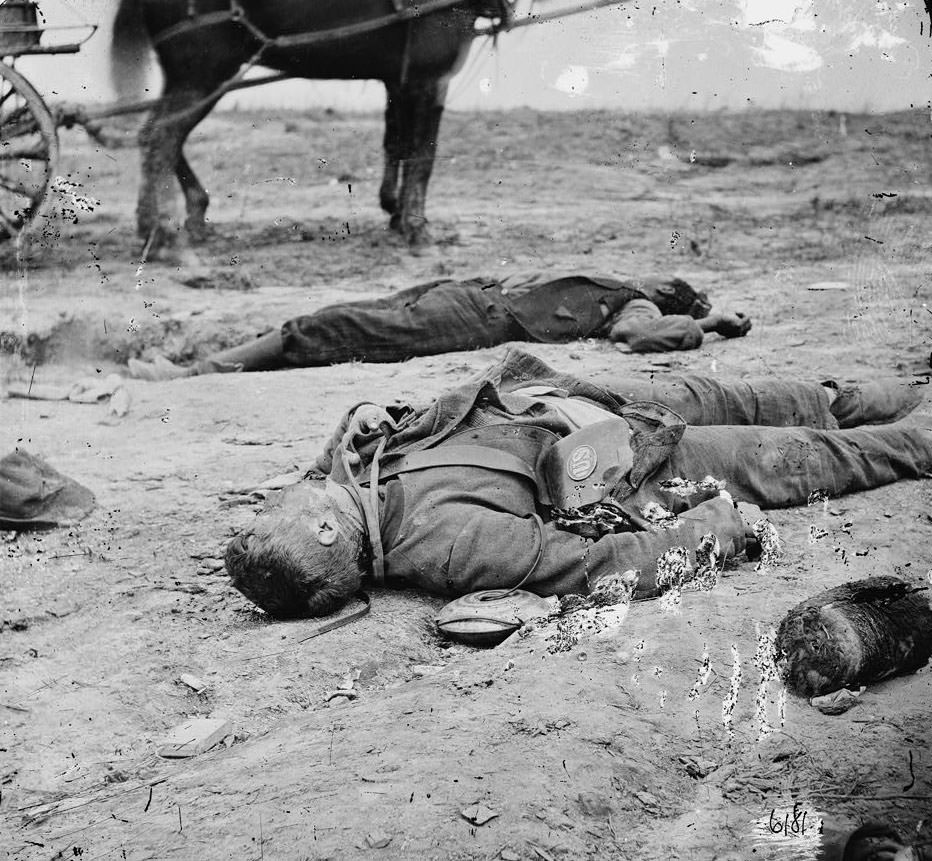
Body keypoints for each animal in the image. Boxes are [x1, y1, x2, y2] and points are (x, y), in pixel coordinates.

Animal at [113, 0, 512, 252]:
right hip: (203, 74)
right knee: (161, 137)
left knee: (157, 136)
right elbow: (422, 156)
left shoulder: (400, 79)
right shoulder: (430, 77)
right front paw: (416, 228)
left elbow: (396, 144)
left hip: (197, 79)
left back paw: (181, 219)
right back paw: (161, 232)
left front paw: (396, 214)